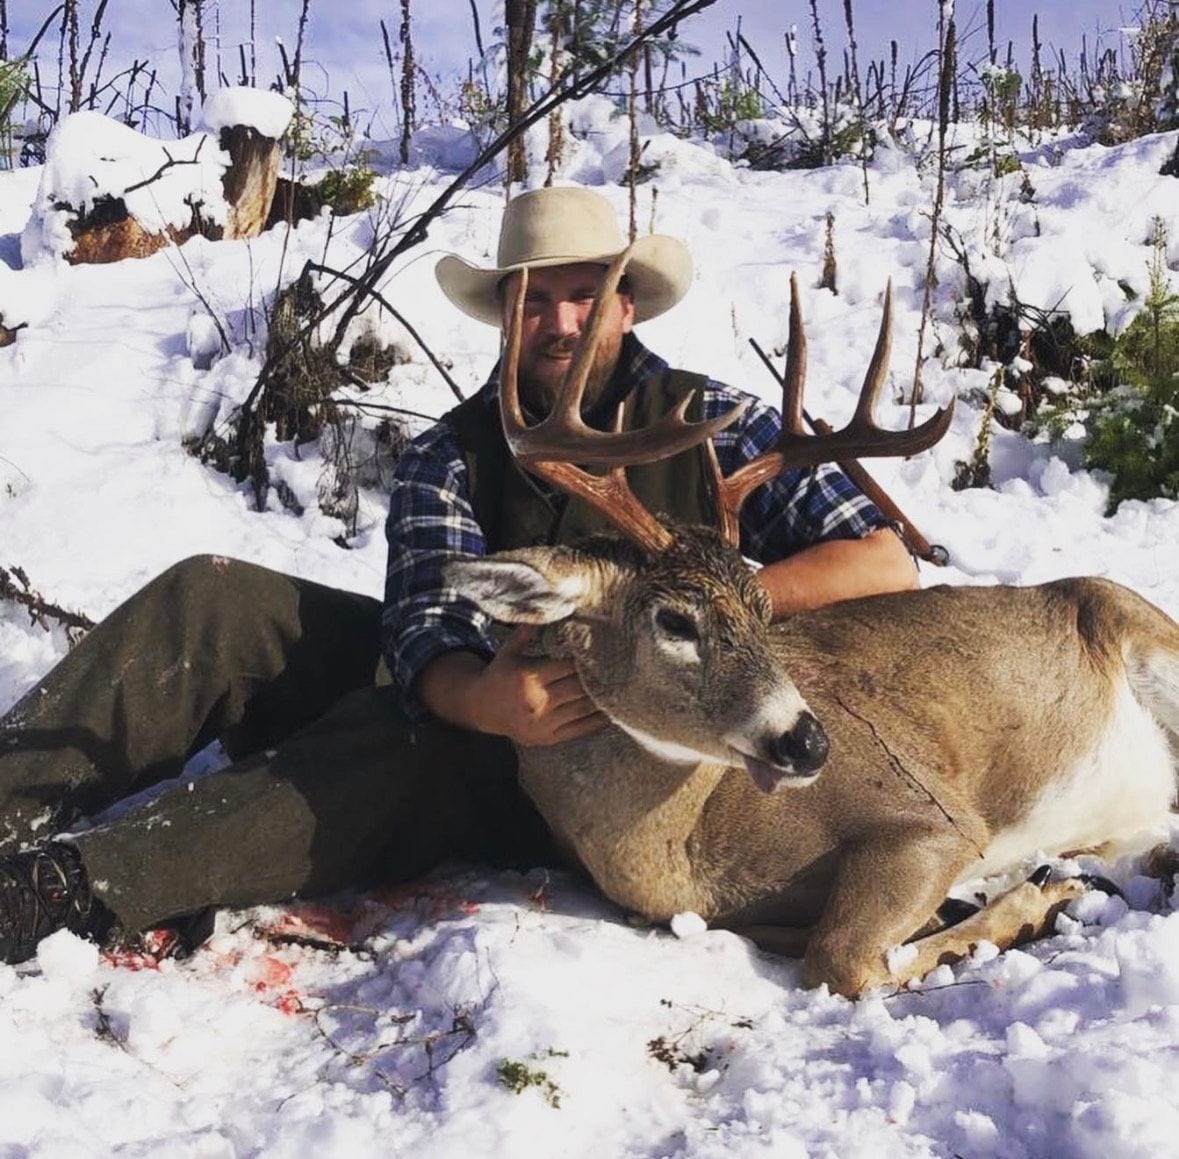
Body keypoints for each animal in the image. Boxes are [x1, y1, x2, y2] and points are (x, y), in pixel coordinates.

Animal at [445, 247, 1179, 998]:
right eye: (674, 620)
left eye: (763, 608)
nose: (808, 743)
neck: (686, 850)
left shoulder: (933, 816)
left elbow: (840, 958)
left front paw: (1042, 899)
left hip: (1143, 634)